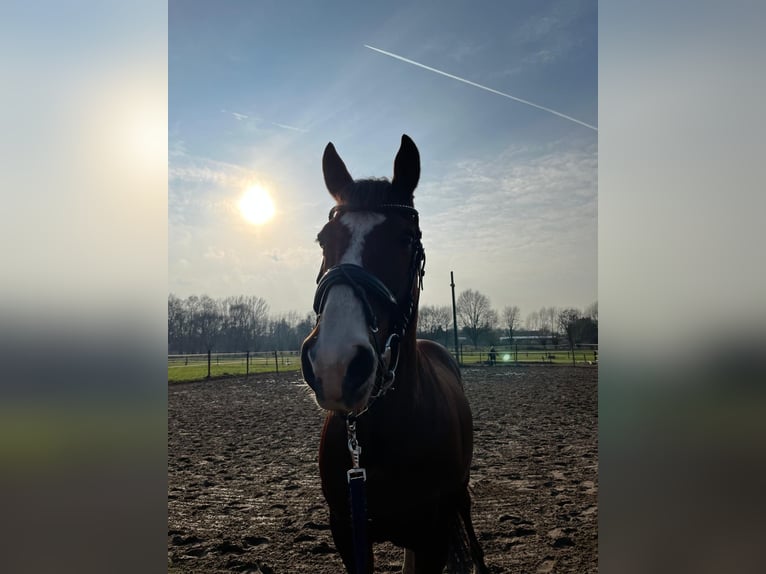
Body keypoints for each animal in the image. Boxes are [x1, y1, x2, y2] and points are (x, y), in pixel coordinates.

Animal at [302, 136, 488, 574]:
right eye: (323, 239)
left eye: (406, 239)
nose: (335, 364)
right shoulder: (347, 532)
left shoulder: (434, 536)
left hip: (459, 497)